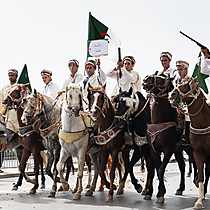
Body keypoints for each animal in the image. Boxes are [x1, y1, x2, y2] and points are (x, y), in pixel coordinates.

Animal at [143, 74, 185, 203]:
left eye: (162, 79)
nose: (146, 79)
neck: (160, 121)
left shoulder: (168, 149)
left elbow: (161, 169)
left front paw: (160, 194)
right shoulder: (153, 150)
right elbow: (157, 169)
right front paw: (153, 193)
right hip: (179, 149)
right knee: (182, 166)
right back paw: (180, 188)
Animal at [171, 77, 210, 210]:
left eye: (187, 84)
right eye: (179, 83)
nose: (172, 94)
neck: (203, 123)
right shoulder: (197, 152)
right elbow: (201, 174)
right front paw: (199, 201)